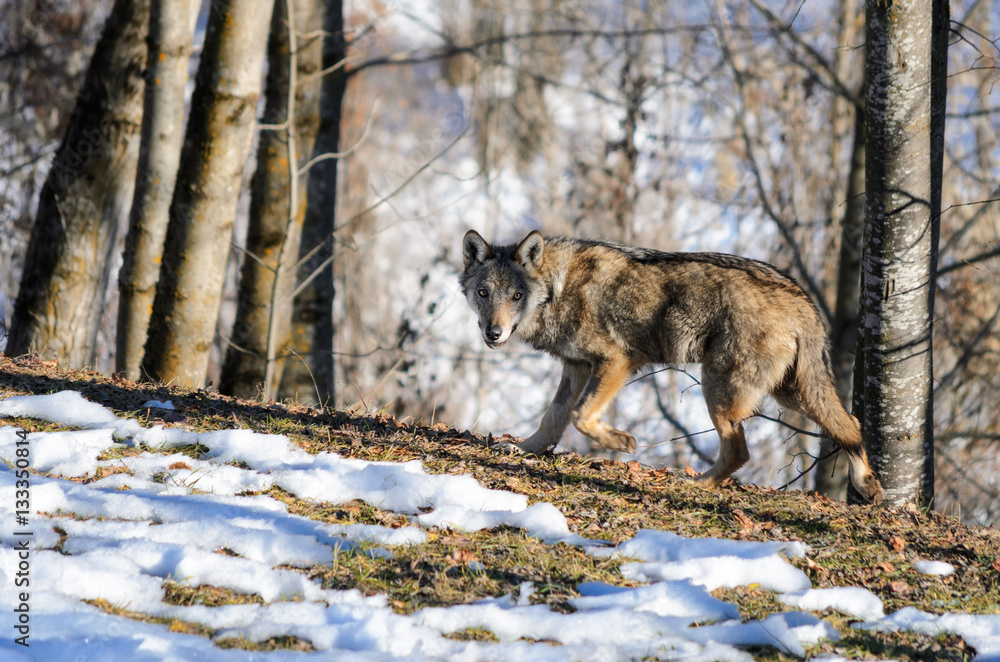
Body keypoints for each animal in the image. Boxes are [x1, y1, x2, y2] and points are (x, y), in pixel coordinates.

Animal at [460, 229, 884, 504]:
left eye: (516, 296)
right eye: (483, 293)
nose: (494, 333)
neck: (557, 289)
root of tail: (800, 297)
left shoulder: (617, 360)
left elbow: (580, 416)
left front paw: (620, 442)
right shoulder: (576, 366)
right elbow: (553, 418)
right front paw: (525, 450)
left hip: (720, 391)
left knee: (739, 453)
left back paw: (695, 486)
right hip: (792, 394)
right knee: (850, 424)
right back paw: (867, 484)